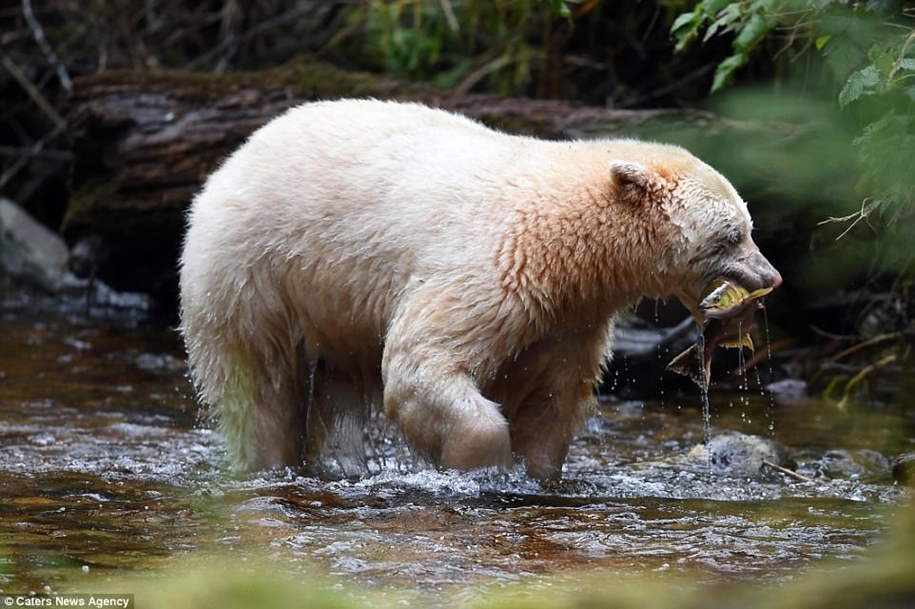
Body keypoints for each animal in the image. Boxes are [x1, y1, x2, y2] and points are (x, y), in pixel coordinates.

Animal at [179, 98, 780, 480]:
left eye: (751, 227)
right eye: (733, 235)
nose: (771, 277)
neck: (568, 241)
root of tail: (235, 157)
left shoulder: (569, 315)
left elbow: (551, 396)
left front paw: (534, 473)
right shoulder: (495, 268)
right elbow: (424, 361)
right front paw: (480, 466)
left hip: (334, 300)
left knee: (340, 384)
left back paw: (337, 464)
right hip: (252, 270)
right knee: (258, 383)